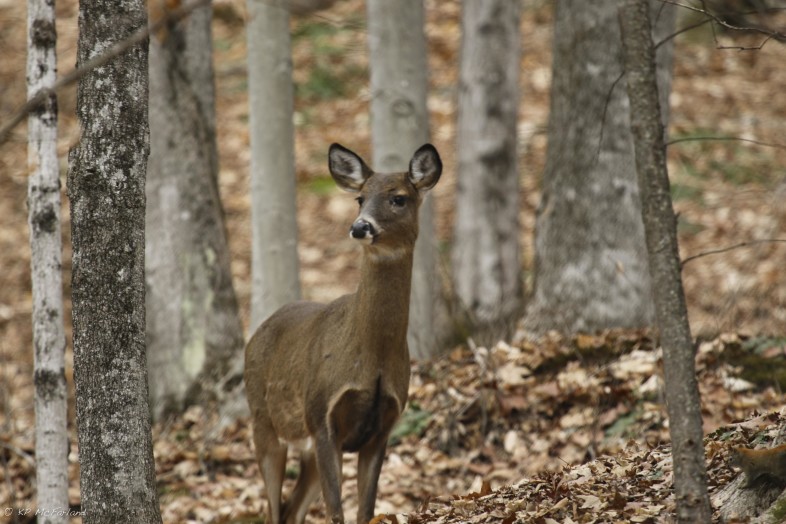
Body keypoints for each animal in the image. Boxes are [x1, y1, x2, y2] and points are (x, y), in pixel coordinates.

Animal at [244, 142, 442, 524]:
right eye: (359, 198)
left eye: (398, 198)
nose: (360, 226)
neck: (373, 359)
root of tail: (255, 333)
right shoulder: (322, 415)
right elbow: (336, 511)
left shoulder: (383, 427)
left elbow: (365, 510)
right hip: (263, 420)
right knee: (274, 509)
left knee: (291, 510)